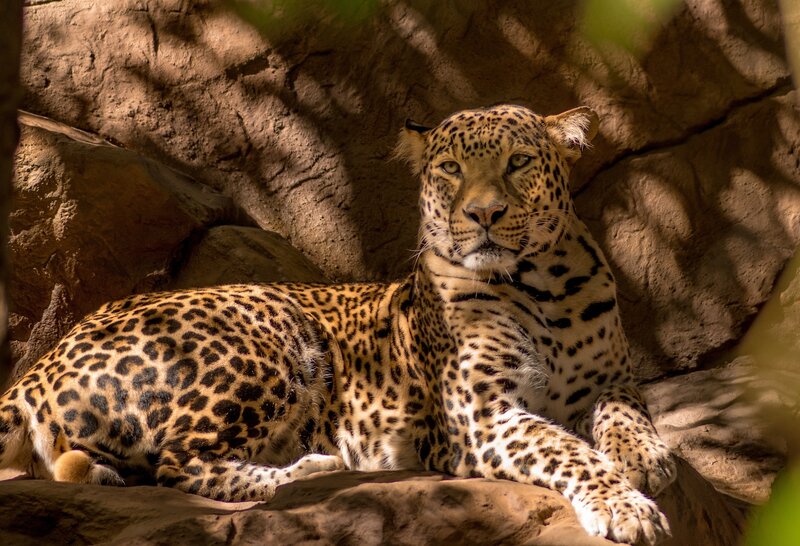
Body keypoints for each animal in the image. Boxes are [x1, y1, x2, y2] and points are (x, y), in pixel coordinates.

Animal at [0, 104, 676, 544]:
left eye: (518, 162)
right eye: (450, 170)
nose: (483, 214)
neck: (543, 286)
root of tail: (44, 361)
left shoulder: (612, 379)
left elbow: (624, 414)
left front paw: (648, 459)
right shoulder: (483, 417)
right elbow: (566, 450)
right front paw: (626, 506)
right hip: (269, 331)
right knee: (180, 465)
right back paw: (316, 469)